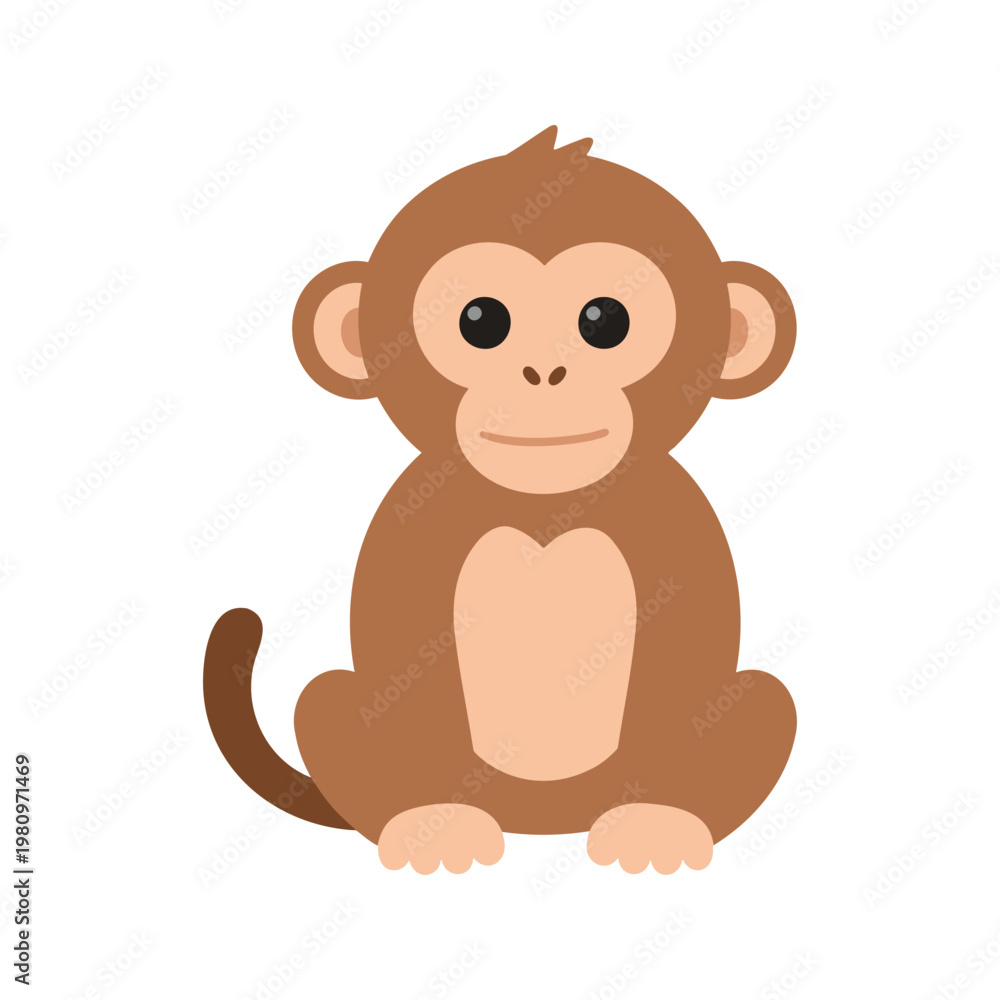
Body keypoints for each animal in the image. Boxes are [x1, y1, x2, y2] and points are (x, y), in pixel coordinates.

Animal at [204, 126, 797, 874]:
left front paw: (654, 821)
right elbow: (407, 662)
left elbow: (689, 662)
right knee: (330, 704)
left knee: (762, 704)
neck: (544, 506)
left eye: (606, 320)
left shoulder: (679, 528)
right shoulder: (413, 531)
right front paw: (434, 821)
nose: (543, 372)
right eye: (480, 320)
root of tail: (542, 822)